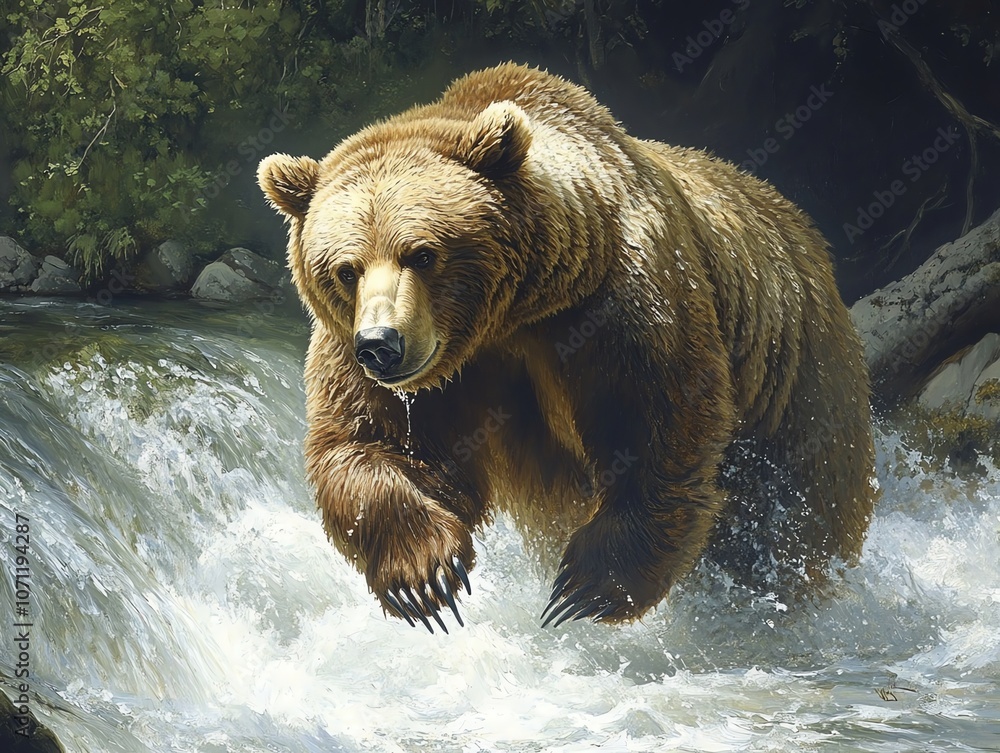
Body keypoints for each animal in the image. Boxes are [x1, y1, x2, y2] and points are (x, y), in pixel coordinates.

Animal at [258, 63, 876, 633]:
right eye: (346, 268)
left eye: (423, 253)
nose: (382, 346)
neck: (510, 315)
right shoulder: (394, 360)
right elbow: (366, 442)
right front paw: (426, 578)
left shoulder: (617, 305)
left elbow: (659, 422)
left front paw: (588, 587)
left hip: (796, 372)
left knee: (800, 504)